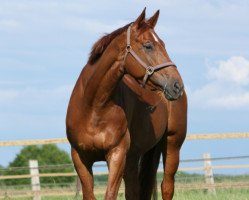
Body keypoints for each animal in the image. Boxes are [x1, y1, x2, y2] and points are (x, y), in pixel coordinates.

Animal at [66, 9, 187, 200]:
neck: (94, 107)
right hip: (134, 158)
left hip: (172, 145)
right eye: (148, 45)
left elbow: (110, 194)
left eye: (163, 44)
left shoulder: (117, 154)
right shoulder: (80, 157)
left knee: (167, 186)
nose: (177, 85)